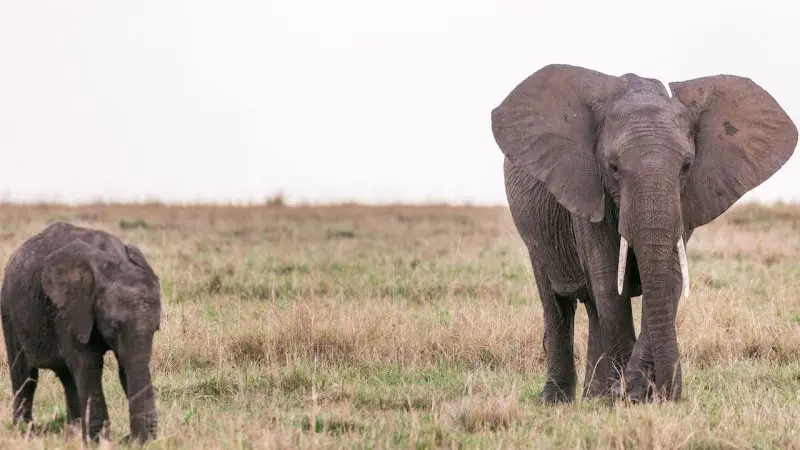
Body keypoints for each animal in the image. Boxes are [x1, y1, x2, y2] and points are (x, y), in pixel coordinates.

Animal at [0, 222, 161, 442]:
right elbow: (89, 363)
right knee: (25, 375)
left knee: (67, 377)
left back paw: (73, 434)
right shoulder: (71, 310)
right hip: (9, 310)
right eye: (114, 326)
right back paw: (25, 434)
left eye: (156, 328)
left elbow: (126, 365)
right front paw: (99, 441)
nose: (130, 439)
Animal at [490, 62, 796, 400]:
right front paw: (624, 397)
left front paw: (632, 395)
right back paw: (558, 401)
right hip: (536, 234)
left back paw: (593, 397)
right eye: (612, 167)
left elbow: (669, 279)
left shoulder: (684, 201)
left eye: (687, 166)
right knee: (558, 306)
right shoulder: (587, 192)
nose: (668, 394)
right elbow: (610, 283)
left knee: (593, 308)